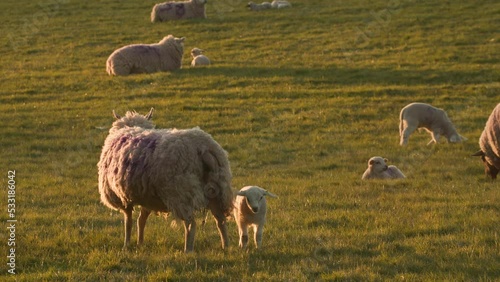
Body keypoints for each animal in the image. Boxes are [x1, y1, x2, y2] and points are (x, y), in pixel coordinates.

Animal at [97, 108, 234, 253]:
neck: (131, 128)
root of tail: (203, 148)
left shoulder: (122, 196)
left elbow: (128, 221)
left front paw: (126, 245)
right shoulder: (147, 196)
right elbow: (141, 220)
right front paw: (140, 243)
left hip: (181, 192)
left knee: (191, 223)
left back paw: (188, 250)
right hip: (218, 188)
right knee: (220, 220)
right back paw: (226, 246)